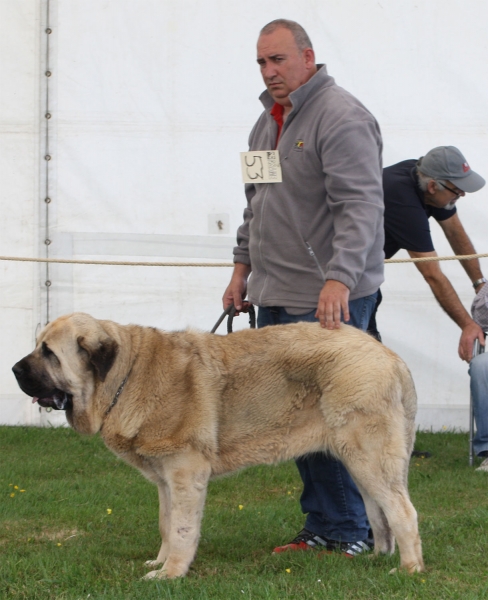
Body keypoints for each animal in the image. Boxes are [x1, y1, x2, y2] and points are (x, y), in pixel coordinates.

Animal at [11, 312, 424, 580]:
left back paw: (408, 570)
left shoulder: (185, 471)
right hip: (359, 463)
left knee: (403, 511)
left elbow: (182, 529)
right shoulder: (166, 479)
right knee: (379, 514)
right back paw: (377, 559)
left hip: (369, 456)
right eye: (38, 347)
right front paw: (160, 563)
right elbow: (166, 524)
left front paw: (171, 574)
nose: (14, 369)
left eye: (49, 353)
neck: (126, 377)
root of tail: (391, 357)